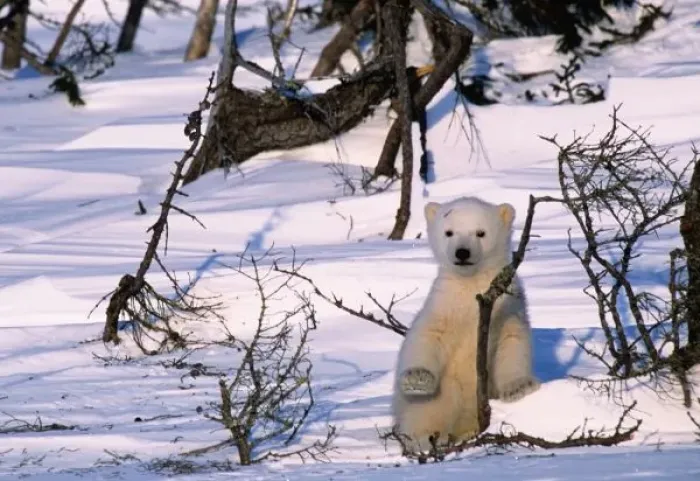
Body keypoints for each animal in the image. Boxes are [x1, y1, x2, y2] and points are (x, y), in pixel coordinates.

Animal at [391, 196, 539, 452]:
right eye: (449, 232)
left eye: (480, 232)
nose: (462, 253)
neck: (471, 286)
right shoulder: (443, 305)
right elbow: (426, 336)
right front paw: (417, 378)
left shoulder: (508, 305)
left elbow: (512, 341)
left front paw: (519, 387)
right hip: (444, 394)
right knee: (426, 411)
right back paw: (426, 440)